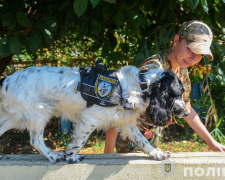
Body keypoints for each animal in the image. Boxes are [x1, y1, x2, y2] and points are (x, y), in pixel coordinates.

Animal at [0, 64, 188, 163]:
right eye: (177, 93)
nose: (186, 112)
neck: (140, 87)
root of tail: (6, 79)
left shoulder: (126, 123)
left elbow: (143, 141)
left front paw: (157, 153)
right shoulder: (89, 119)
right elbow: (79, 141)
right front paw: (72, 157)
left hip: (13, 117)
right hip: (39, 113)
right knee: (36, 140)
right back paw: (53, 155)